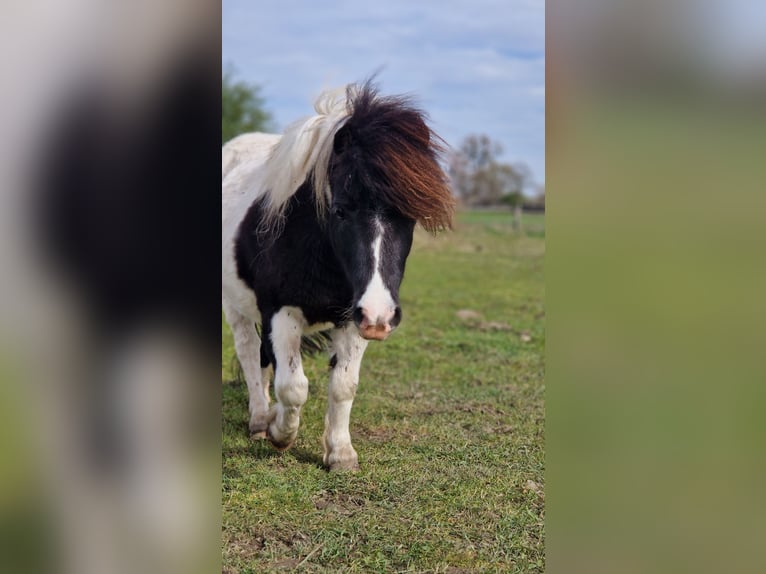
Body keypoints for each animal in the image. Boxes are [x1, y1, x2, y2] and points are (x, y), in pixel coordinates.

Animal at [222, 80, 456, 472]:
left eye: (409, 216)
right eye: (340, 210)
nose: (381, 315)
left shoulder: (353, 317)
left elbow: (344, 385)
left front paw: (340, 453)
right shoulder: (281, 312)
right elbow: (294, 387)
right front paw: (281, 434)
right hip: (235, 305)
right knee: (249, 352)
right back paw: (259, 419)